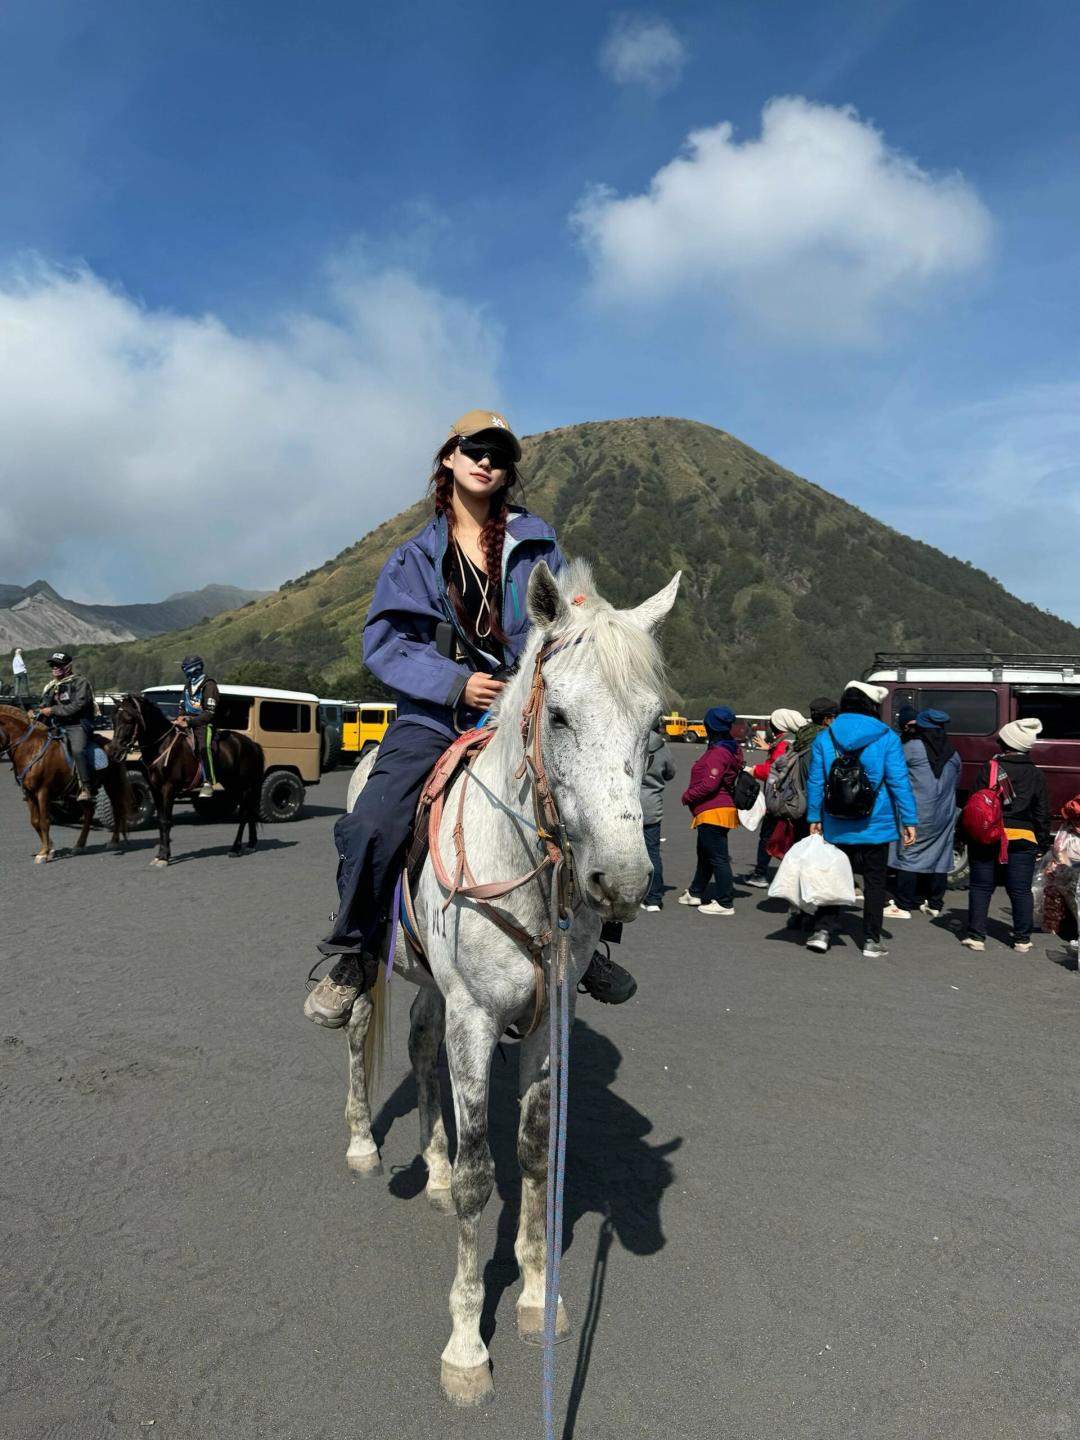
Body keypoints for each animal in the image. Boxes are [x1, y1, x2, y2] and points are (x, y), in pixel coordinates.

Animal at [0, 702, 133, 858]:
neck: (31, 748)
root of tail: (112, 745)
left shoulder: (43, 791)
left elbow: (44, 821)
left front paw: (44, 853)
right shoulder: (29, 793)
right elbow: (35, 821)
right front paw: (49, 848)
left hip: (112, 783)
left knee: (117, 809)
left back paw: (113, 842)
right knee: (89, 813)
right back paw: (79, 845)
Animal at [108, 694, 264, 864]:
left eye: (129, 719)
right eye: (114, 720)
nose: (114, 752)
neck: (162, 745)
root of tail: (252, 744)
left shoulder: (168, 788)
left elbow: (166, 821)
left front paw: (164, 856)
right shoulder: (155, 789)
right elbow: (161, 821)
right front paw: (161, 854)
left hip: (243, 786)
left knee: (244, 813)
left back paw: (235, 848)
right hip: (232, 785)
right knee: (249, 811)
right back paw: (251, 844)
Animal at [339, 561, 676, 1405]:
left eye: (653, 724)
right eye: (557, 715)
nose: (623, 881)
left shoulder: (539, 1021)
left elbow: (531, 1157)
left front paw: (536, 1298)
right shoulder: (477, 1020)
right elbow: (478, 1179)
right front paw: (466, 1346)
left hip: (435, 987)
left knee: (419, 1044)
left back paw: (427, 1165)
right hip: (379, 965)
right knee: (359, 1028)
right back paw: (362, 1141)